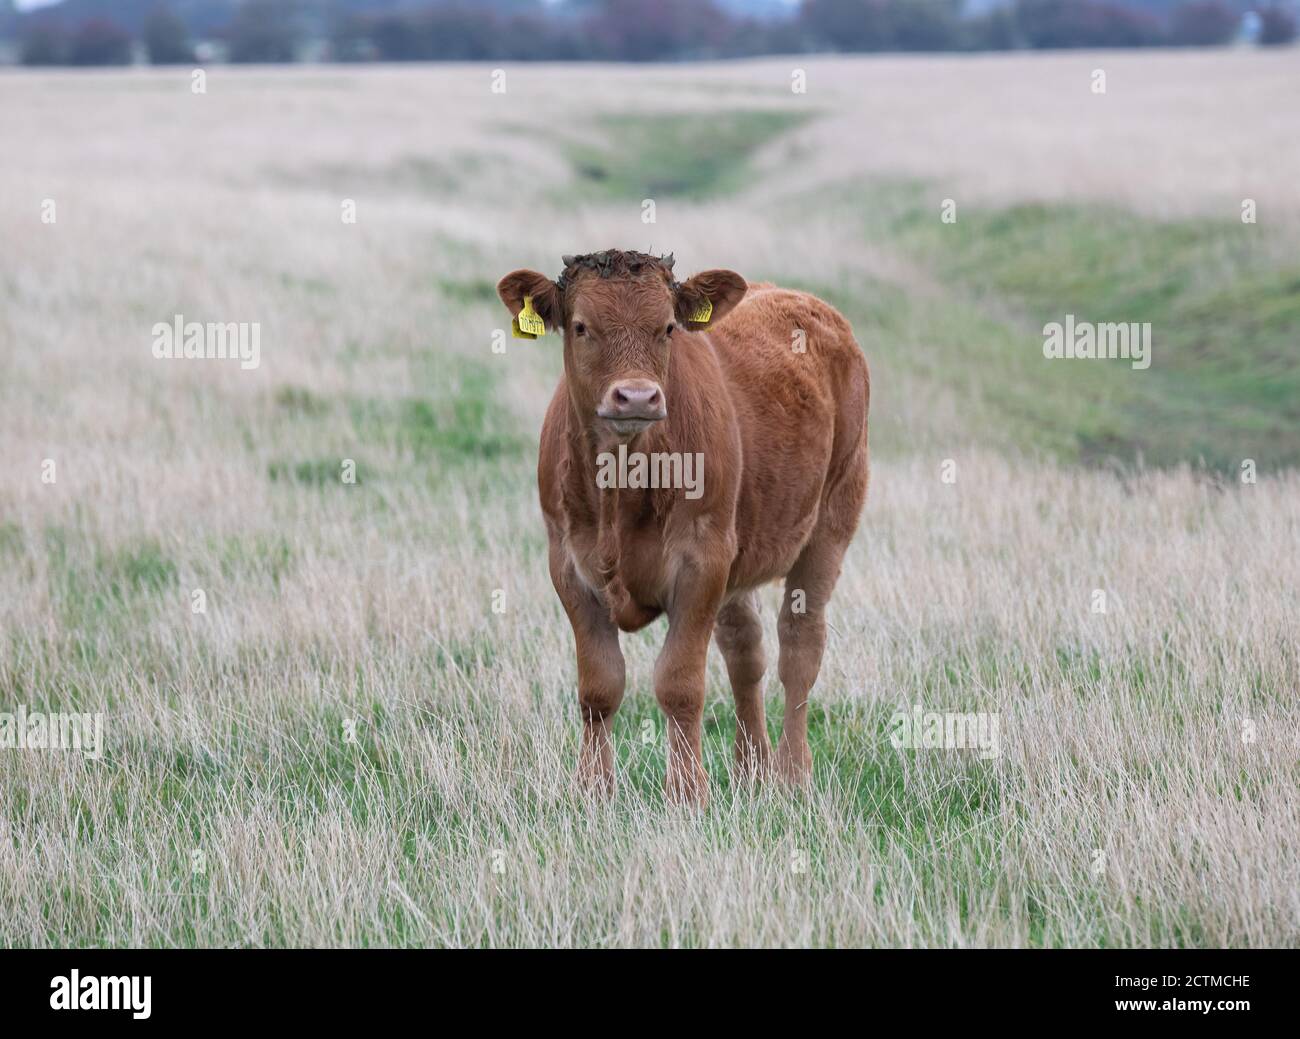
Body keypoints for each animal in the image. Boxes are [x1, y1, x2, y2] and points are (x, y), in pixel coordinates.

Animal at [499, 252, 873, 806]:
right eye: (581, 326)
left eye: (668, 328)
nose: (636, 396)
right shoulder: (566, 563)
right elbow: (599, 686)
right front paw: (592, 789)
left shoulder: (702, 560)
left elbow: (679, 683)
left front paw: (687, 792)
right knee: (746, 652)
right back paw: (751, 770)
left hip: (833, 517)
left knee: (799, 646)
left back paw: (791, 774)